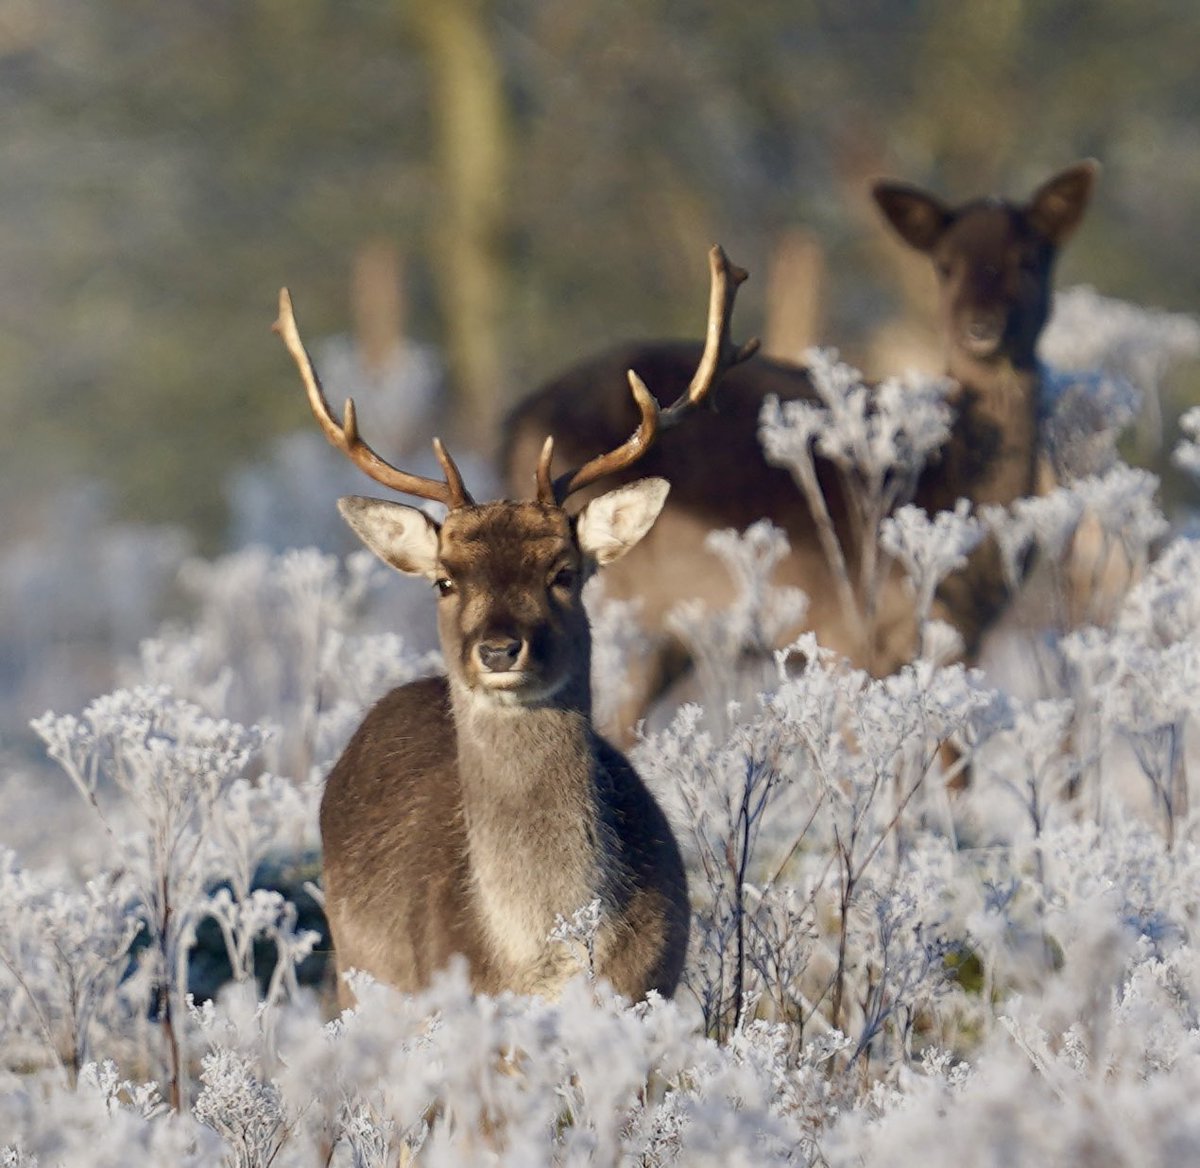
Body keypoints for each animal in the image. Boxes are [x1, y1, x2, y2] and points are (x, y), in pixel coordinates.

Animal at [274, 246, 757, 1005]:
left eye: (564, 571)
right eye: (445, 580)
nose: (499, 649)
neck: (538, 958)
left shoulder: (652, 984)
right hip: (357, 972)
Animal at [501, 162, 1098, 737]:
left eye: (1030, 259)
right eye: (946, 265)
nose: (983, 329)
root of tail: (515, 420)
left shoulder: (960, 643)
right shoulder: (845, 635)